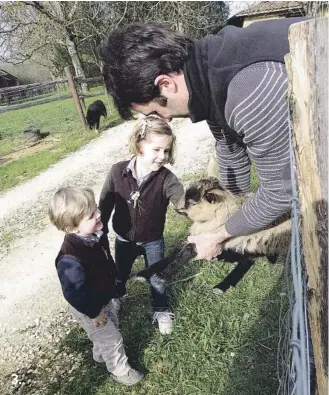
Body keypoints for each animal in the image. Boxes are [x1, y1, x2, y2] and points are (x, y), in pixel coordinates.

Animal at [133, 178, 290, 296]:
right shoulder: (195, 237)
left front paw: (162, 276)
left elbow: (184, 254)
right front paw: (144, 273)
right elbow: (174, 253)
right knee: (246, 261)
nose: (177, 209)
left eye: (191, 202)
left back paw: (220, 287)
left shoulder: (207, 241)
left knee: (246, 262)